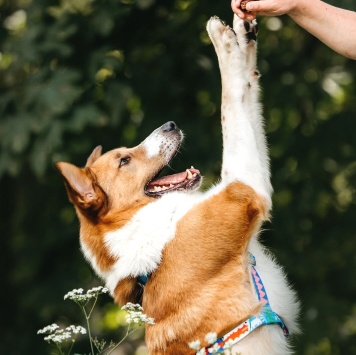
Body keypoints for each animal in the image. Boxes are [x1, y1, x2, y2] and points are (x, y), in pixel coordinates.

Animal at [56, 14, 300, 355]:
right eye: (124, 161)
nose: (171, 124)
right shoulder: (243, 188)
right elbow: (230, 101)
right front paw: (222, 39)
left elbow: (247, 87)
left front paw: (243, 34)